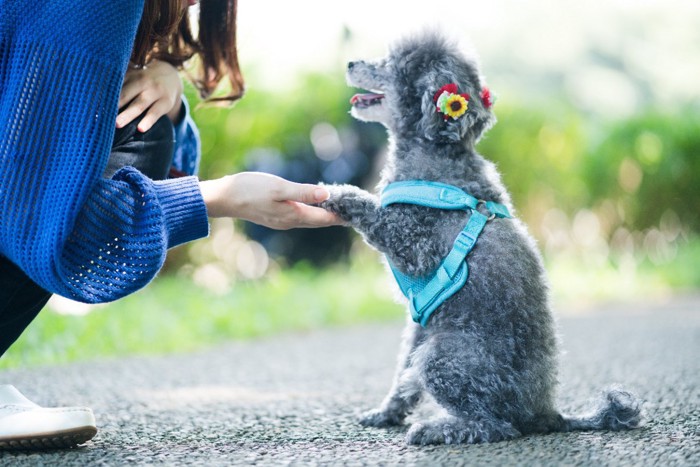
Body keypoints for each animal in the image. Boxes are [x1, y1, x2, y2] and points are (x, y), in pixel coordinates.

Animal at [320, 30, 644, 446]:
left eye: (390, 62)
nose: (350, 63)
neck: (436, 159)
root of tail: (546, 413)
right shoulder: (418, 321)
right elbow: (401, 377)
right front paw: (386, 413)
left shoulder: (415, 245)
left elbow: (375, 214)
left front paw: (337, 194)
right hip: (433, 339)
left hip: (444, 354)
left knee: (494, 426)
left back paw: (438, 429)